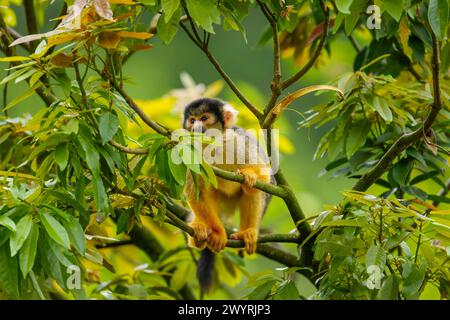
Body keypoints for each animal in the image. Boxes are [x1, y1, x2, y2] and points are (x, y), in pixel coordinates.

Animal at [182, 99, 270, 292]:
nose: (196, 127)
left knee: (254, 192)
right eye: (192, 120)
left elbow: (264, 175)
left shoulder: (240, 140)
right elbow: (195, 192)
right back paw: (199, 233)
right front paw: (217, 233)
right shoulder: (192, 153)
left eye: (204, 118)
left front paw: (250, 176)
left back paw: (247, 232)